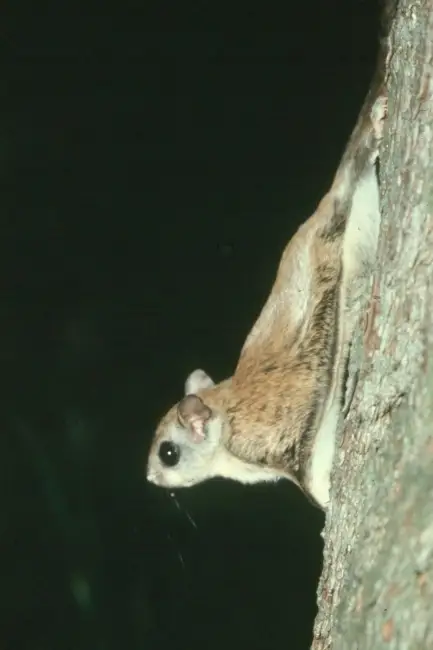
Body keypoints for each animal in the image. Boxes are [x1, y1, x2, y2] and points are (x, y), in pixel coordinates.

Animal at [146, 77, 388, 510]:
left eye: (167, 453)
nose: (150, 477)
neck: (223, 426)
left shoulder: (273, 441)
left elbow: (310, 477)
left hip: (334, 231)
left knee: (351, 174)